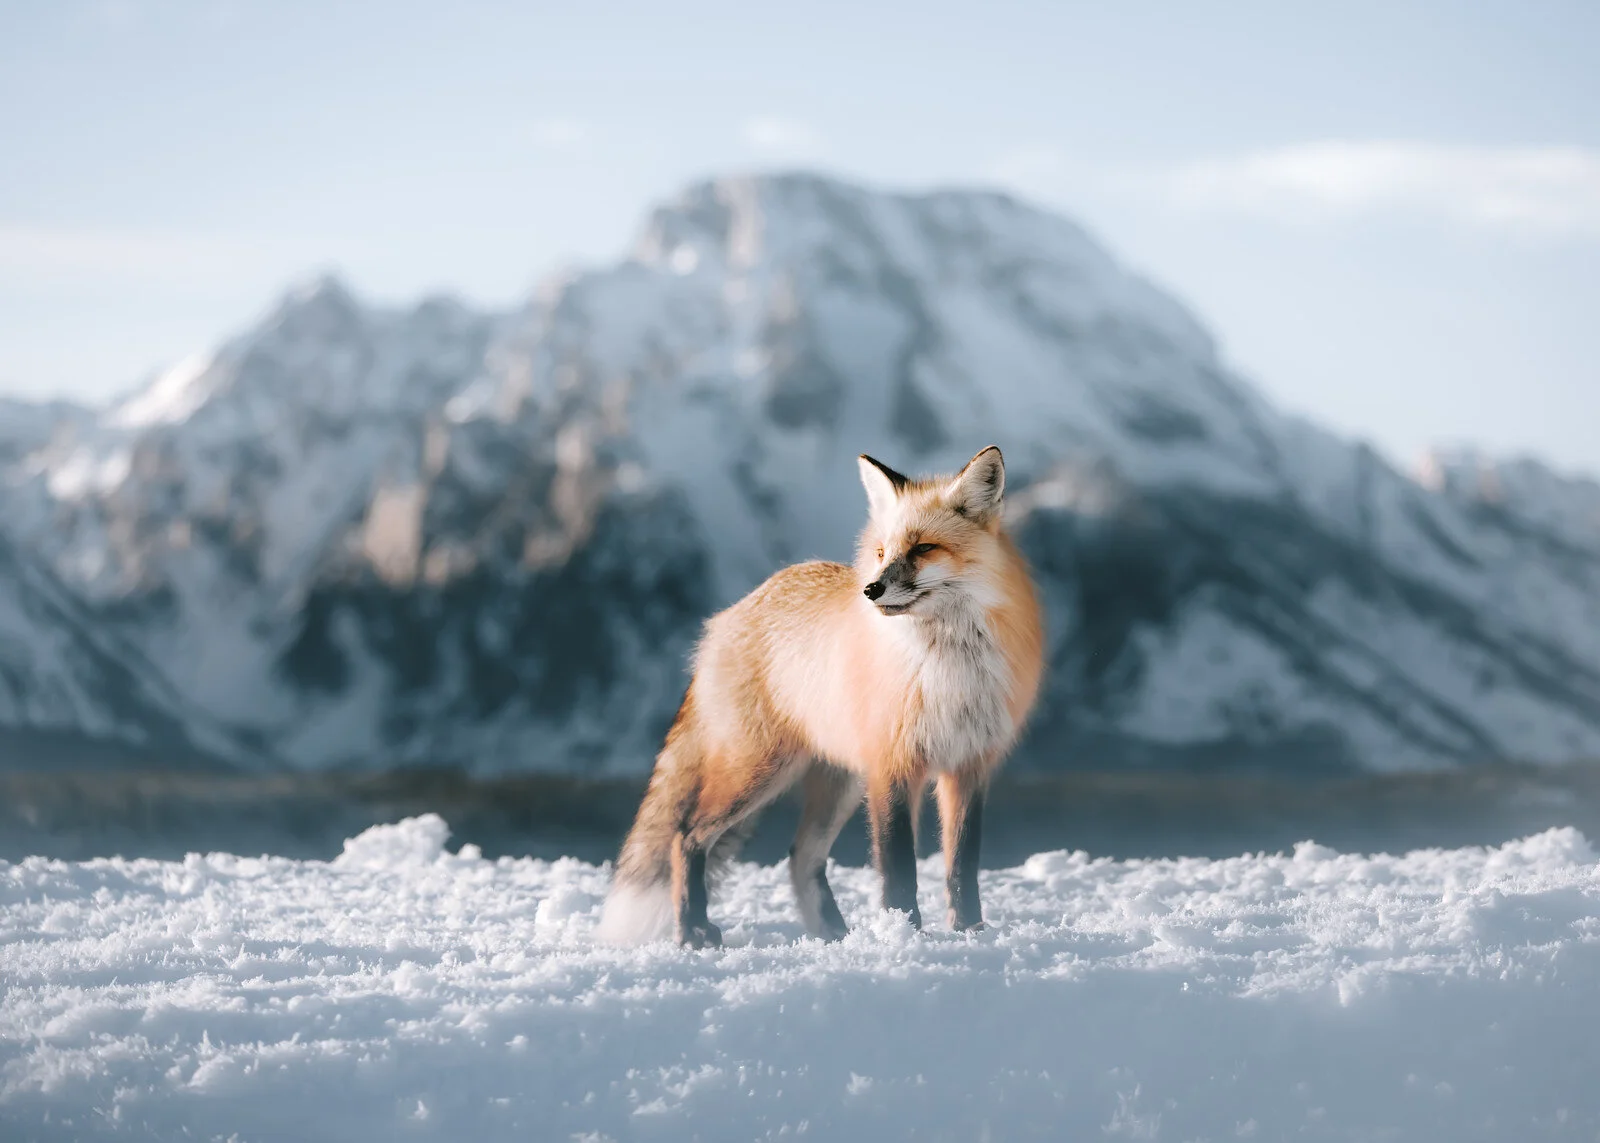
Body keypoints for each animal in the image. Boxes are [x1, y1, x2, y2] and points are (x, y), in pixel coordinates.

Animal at [598, 445, 1044, 947]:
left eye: (923, 548)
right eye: (881, 553)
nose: (870, 589)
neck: (947, 668)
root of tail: (728, 616)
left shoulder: (969, 766)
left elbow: (962, 867)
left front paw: (971, 932)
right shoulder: (892, 767)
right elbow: (899, 868)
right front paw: (904, 934)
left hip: (837, 784)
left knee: (800, 857)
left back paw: (833, 934)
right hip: (756, 772)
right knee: (686, 835)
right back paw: (693, 928)